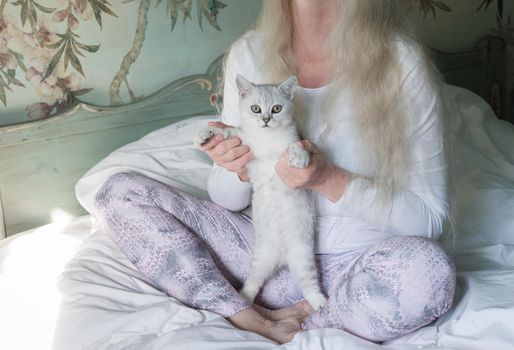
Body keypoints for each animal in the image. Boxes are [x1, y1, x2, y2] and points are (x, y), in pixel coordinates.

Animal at [194, 75, 326, 310]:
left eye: (277, 108)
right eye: (255, 108)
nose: (265, 119)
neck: (267, 139)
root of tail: (281, 257)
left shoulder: (295, 139)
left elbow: (297, 146)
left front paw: (299, 159)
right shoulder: (246, 144)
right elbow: (230, 131)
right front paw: (205, 135)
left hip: (303, 256)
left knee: (308, 283)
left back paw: (320, 302)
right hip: (261, 259)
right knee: (254, 282)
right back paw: (245, 298)